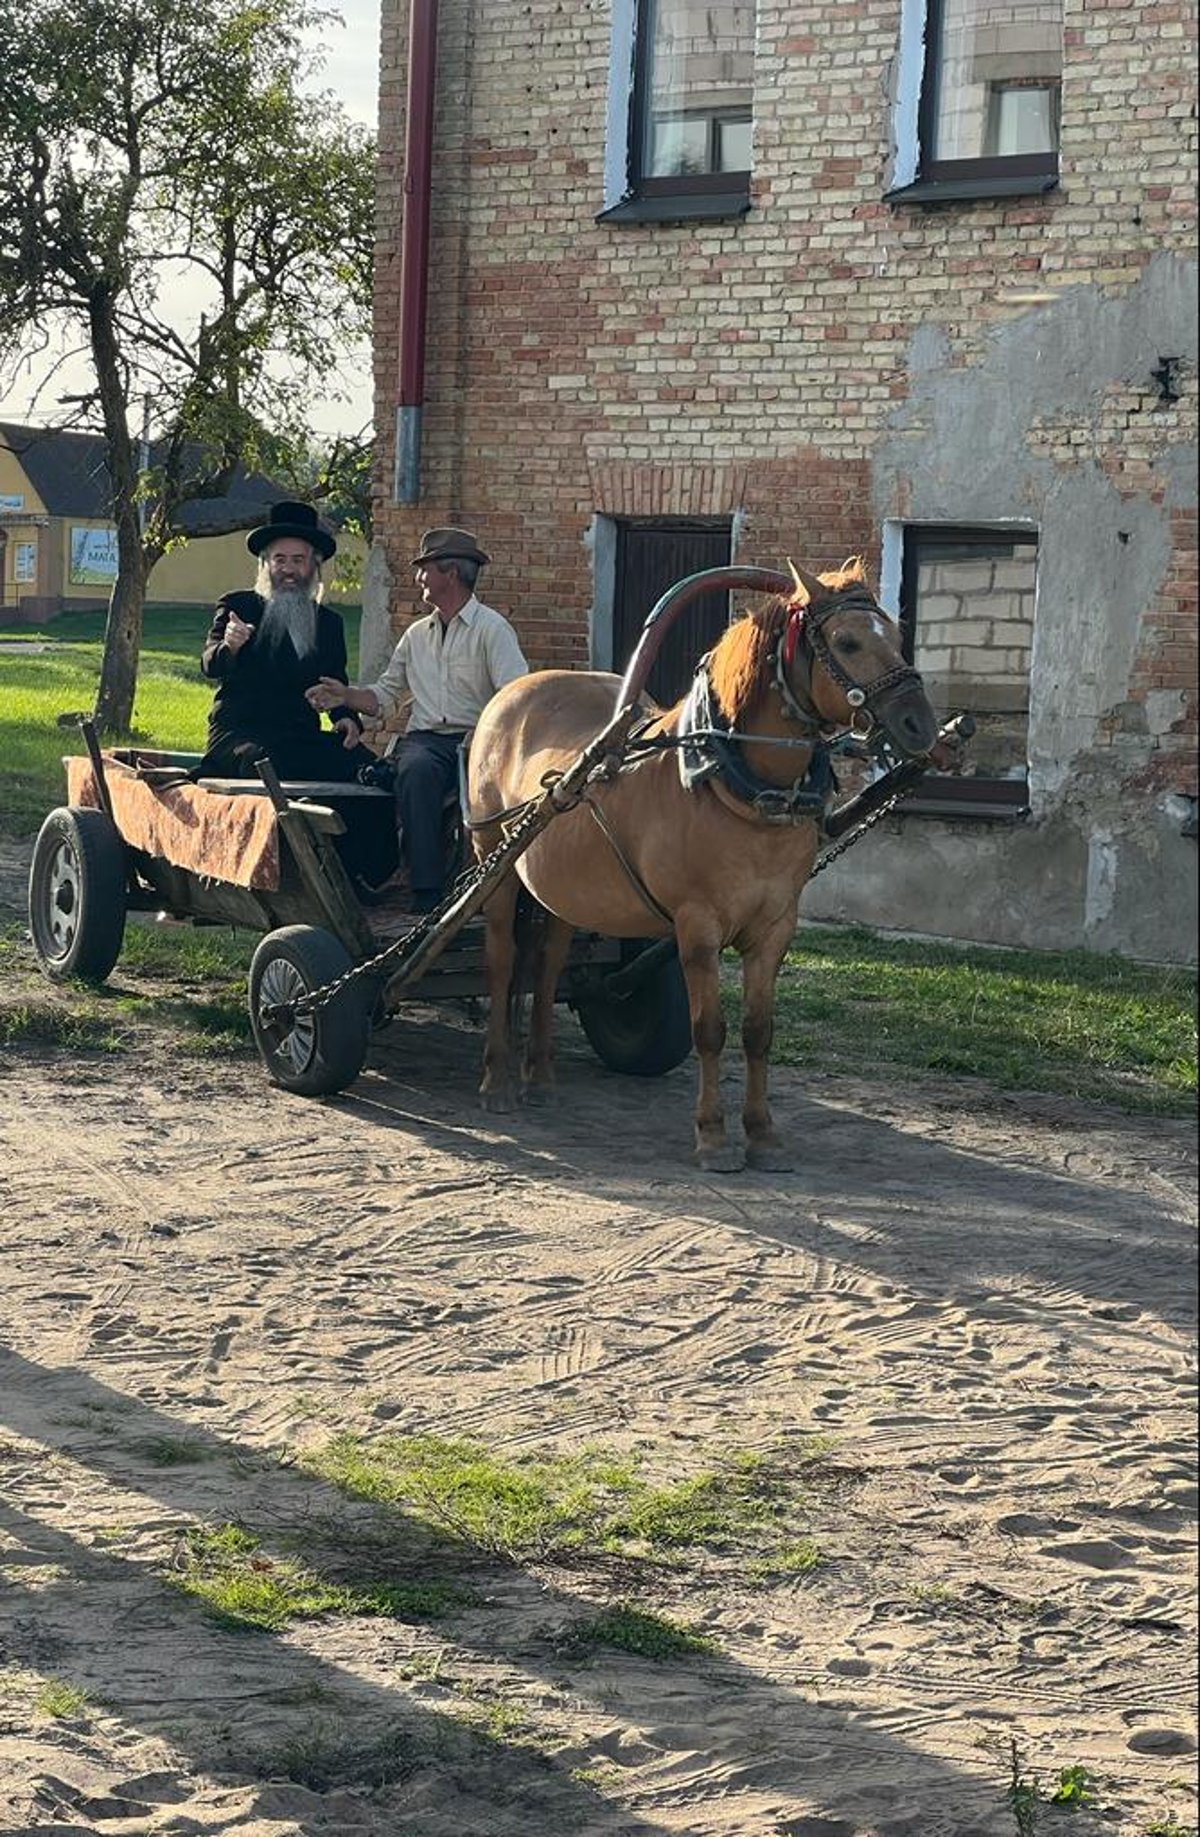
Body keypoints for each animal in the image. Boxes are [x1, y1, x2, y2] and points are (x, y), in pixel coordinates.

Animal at [463, 551, 940, 1175]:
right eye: (848, 642)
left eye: (899, 638)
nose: (920, 726)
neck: (737, 784)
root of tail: (512, 693)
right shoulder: (697, 925)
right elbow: (709, 1029)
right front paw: (712, 1137)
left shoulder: (775, 926)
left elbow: (758, 1032)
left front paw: (763, 1136)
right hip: (493, 859)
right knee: (500, 962)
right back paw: (496, 1080)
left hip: (563, 889)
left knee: (548, 964)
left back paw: (540, 1075)